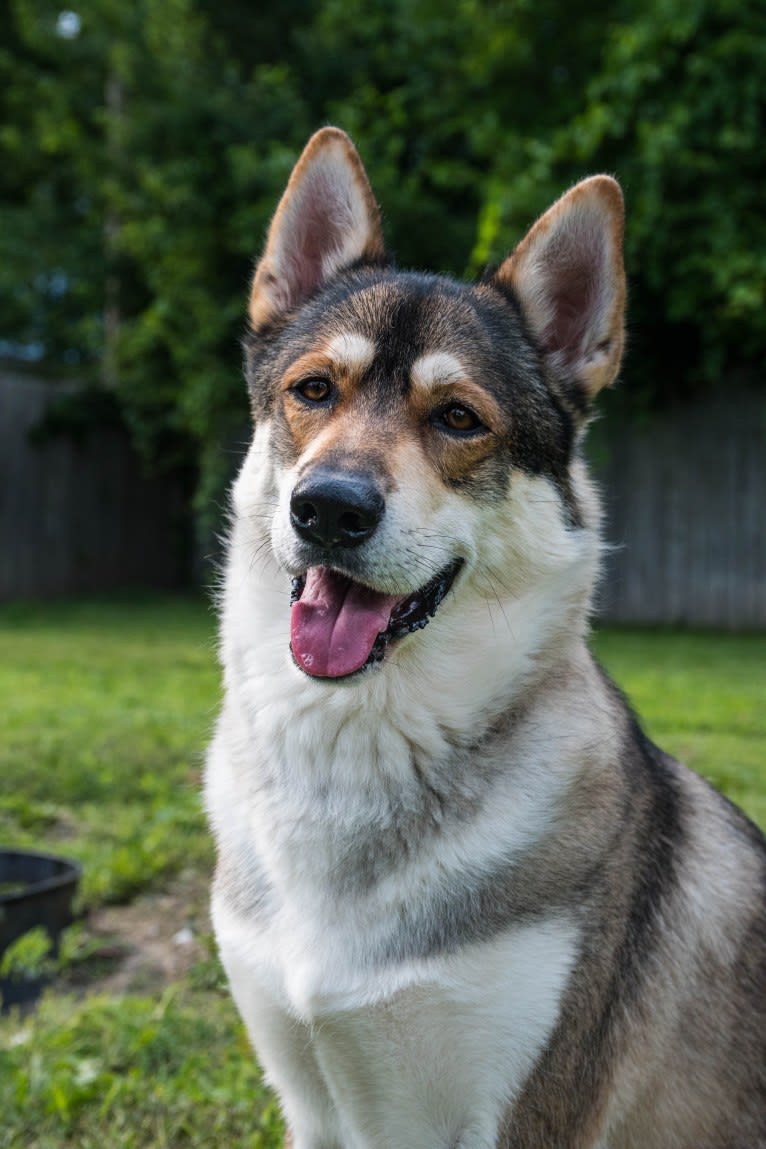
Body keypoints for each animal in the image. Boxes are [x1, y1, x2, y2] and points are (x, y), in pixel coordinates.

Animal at [205, 128, 766, 1149]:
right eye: (315, 390)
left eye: (458, 418)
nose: (328, 508)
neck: (351, 755)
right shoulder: (307, 1100)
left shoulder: (524, 1117)